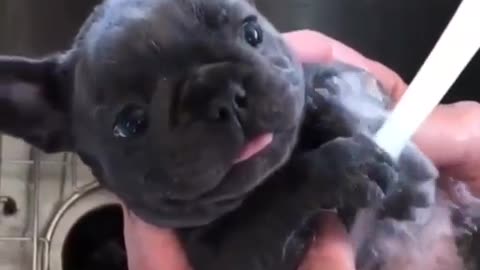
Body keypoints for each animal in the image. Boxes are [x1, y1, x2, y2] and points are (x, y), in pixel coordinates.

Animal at [0, 0, 472, 270]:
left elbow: (332, 89)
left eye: (252, 33)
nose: (222, 95)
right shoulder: (234, 255)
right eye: (129, 124)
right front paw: (345, 167)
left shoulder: (337, 72)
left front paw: (403, 171)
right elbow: (277, 196)